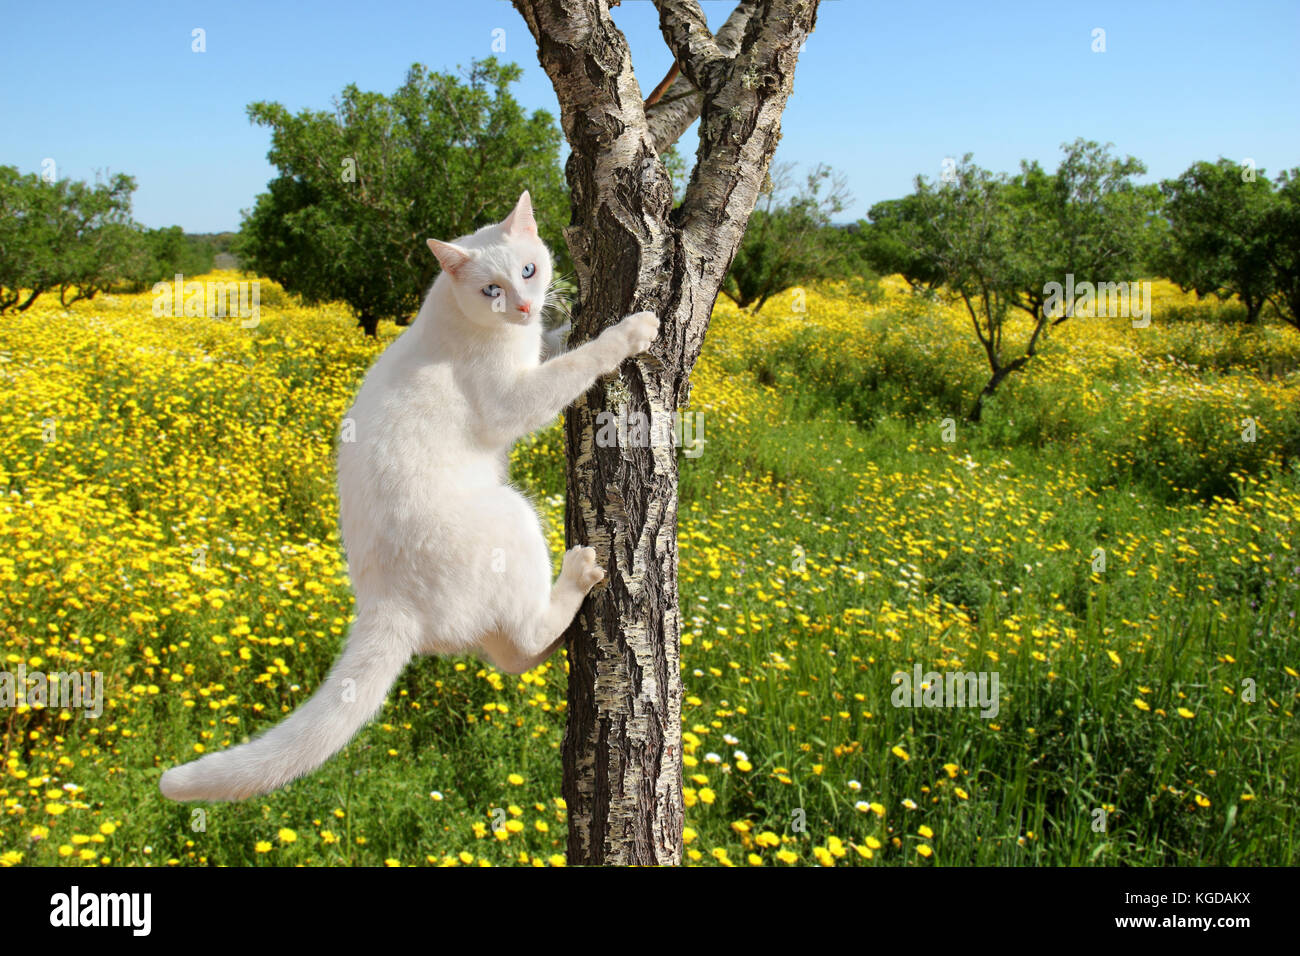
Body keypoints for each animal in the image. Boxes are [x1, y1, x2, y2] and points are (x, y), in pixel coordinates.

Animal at [159, 192, 660, 801]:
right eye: (490, 290)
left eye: (528, 270)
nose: (521, 305)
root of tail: (385, 606)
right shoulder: (513, 401)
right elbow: (578, 361)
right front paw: (631, 331)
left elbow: (558, 344)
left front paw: (560, 324)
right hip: (511, 514)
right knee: (522, 638)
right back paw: (579, 576)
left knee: (509, 656)